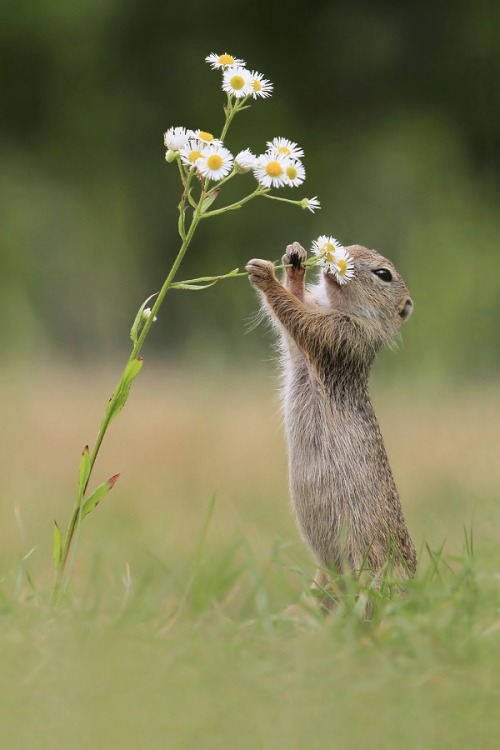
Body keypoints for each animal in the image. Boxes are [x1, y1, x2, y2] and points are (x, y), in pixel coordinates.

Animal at [245, 244, 414, 608]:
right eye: (355, 247)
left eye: (383, 274)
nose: (342, 253)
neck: (343, 308)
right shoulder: (306, 348)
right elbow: (293, 328)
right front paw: (293, 263)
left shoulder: (341, 335)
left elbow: (300, 319)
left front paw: (264, 275)